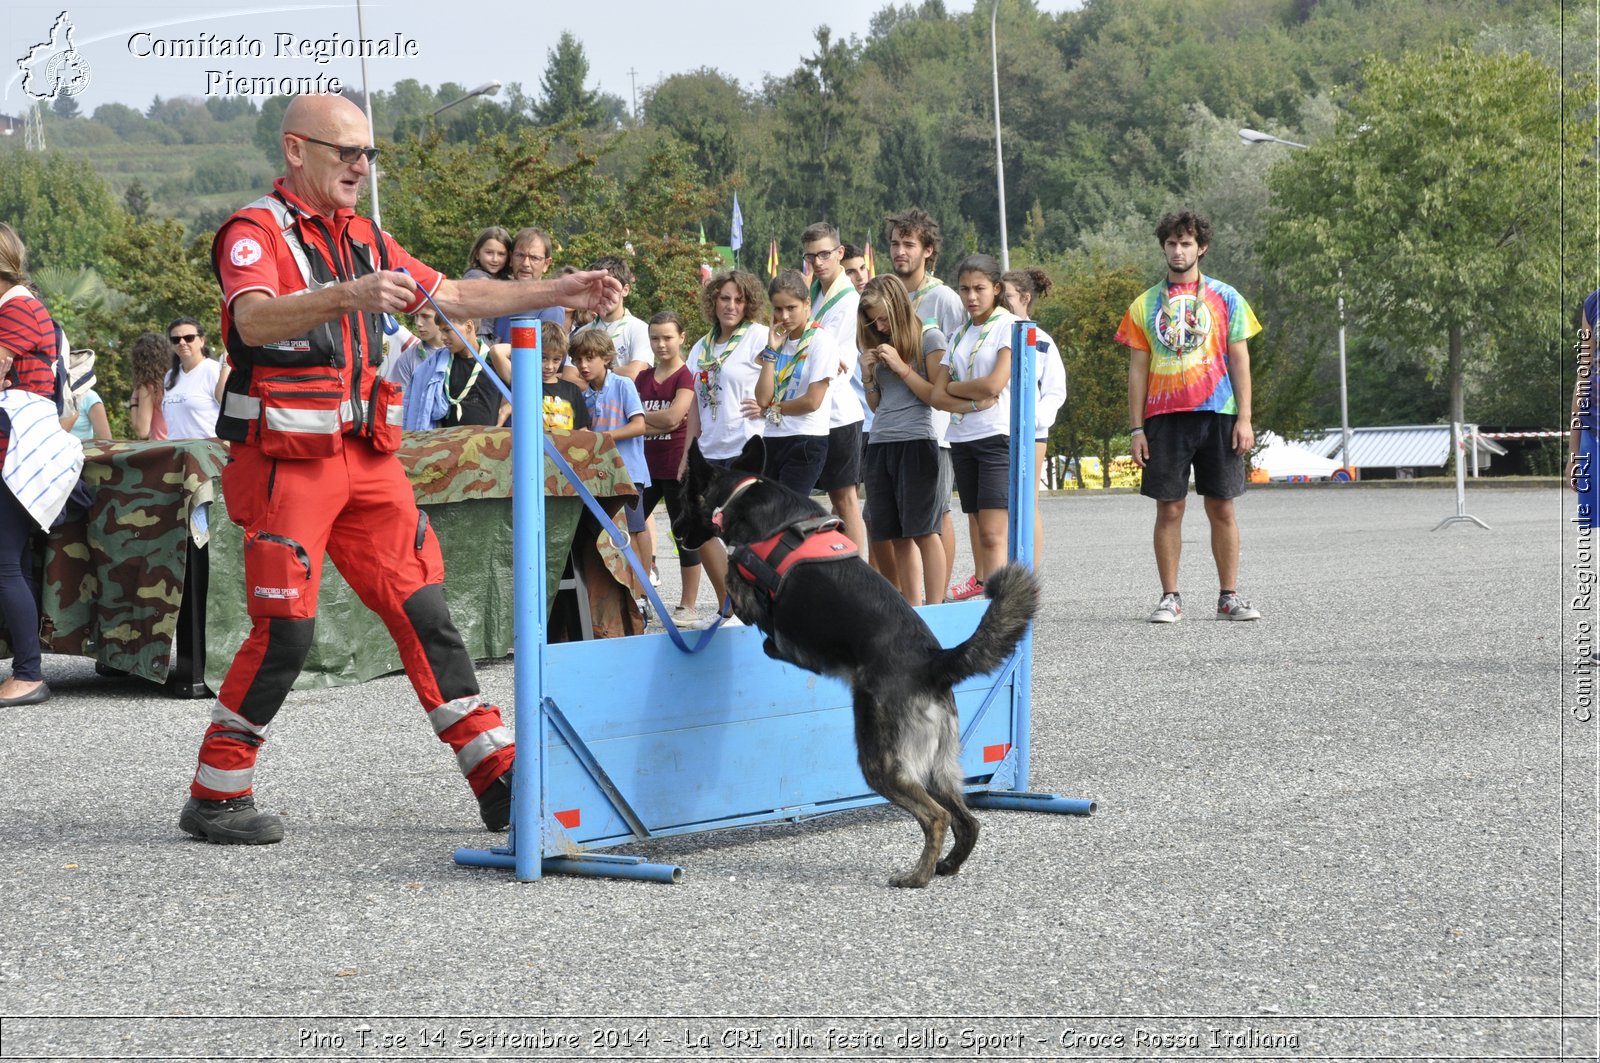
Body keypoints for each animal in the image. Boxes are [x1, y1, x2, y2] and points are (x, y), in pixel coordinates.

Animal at [672, 435, 1036, 883]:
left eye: (680, 499)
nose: (675, 533)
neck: (742, 494)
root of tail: (933, 662)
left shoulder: (744, 586)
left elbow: (735, 586)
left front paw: (766, 640)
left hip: (881, 760)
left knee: (937, 817)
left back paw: (916, 877)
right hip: (935, 766)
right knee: (967, 821)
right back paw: (946, 866)